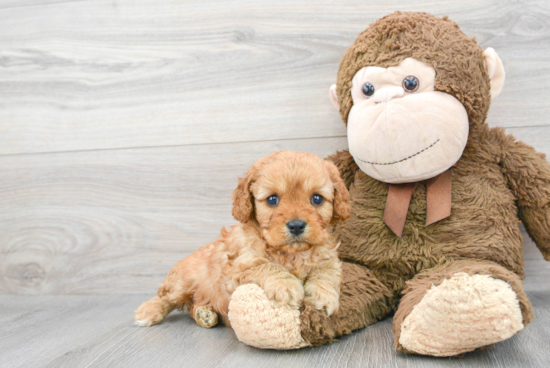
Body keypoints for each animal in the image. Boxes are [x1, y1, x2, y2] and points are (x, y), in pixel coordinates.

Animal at [134, 151, 352, 330]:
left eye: (317, 199)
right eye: (272, 199)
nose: (296, 225)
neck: (292, 254)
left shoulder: (329, 260)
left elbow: (325, 273)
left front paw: (323, 296)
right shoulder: (237, 269)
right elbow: (266, 266)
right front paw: (287, 285)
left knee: (192, 305)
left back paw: (205, 314)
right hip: (182, 282)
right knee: (166, 297)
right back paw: (148, 311)